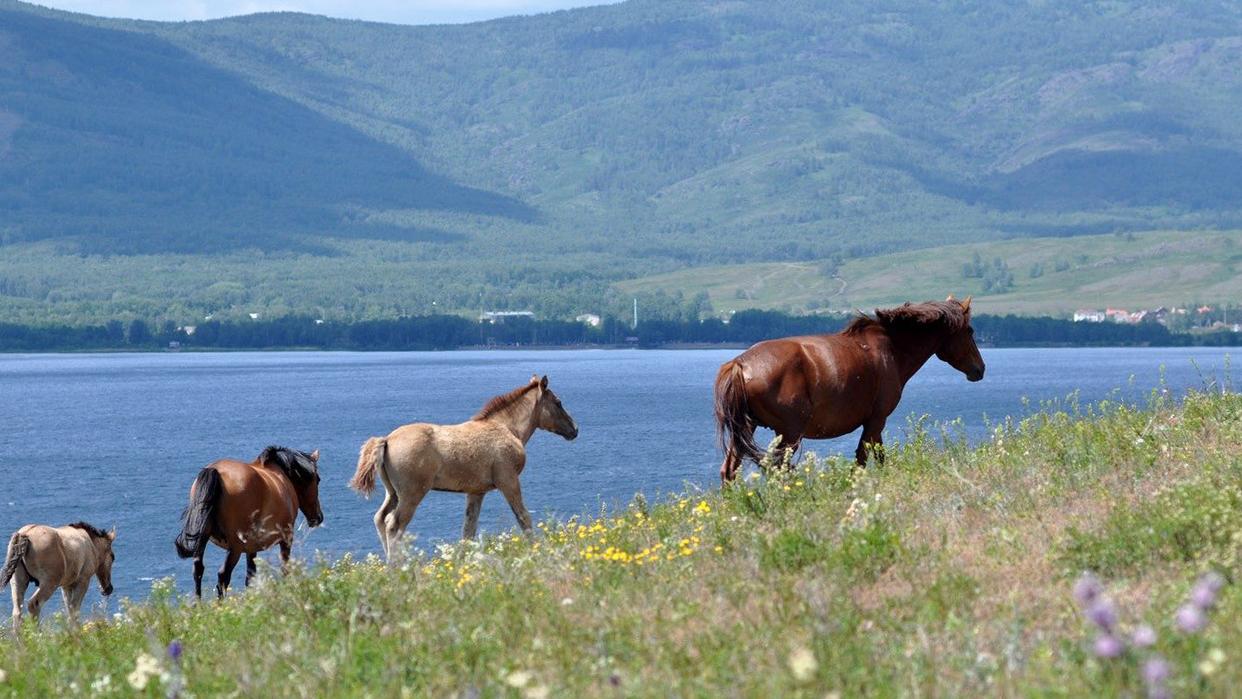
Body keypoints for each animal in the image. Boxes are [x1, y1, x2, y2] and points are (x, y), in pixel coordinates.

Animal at [175, 446, 322, 598]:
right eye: (318, 480)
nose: (318, 517)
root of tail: (215, 472)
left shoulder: (252, 547)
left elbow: (250, 577)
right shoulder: (286, 539)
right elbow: (285, 569)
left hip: (202, 539)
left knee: (198, 570)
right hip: (235, 547)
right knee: (223, 576)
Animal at [350, 374, 576, 561]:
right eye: (558, 402)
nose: (574, 429)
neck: (507, 428)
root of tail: (387, 440)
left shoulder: (476, 491)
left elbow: (469, 530)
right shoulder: (508, 479)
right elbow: (523, 517)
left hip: (393, 492)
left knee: (380, 518)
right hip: (412, 492)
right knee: (393, 525)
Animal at [715, 295, 983, 481]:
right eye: (970, 330)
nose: (980, 369)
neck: (891, 349)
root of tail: (739, 364)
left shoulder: (875, 422)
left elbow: (879, 457)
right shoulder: (876, 420)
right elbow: (863, 459)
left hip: (747, 428)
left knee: (729, 470)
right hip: (789, 433)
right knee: (779, 469)